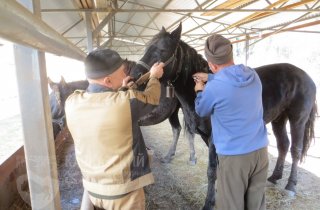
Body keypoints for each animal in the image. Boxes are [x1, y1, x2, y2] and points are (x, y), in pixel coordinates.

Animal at [130, 23, 318, 210]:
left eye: (162, 50)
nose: (134, 76)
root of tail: (307, 76)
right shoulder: (207, 137)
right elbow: (219, 168)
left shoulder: (215, 137)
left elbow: (212, 170)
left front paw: (209, 202)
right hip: (279, 119)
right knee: (283, 145)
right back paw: (274, 177)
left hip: (297, 119)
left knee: (296, 150)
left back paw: (290, 186)